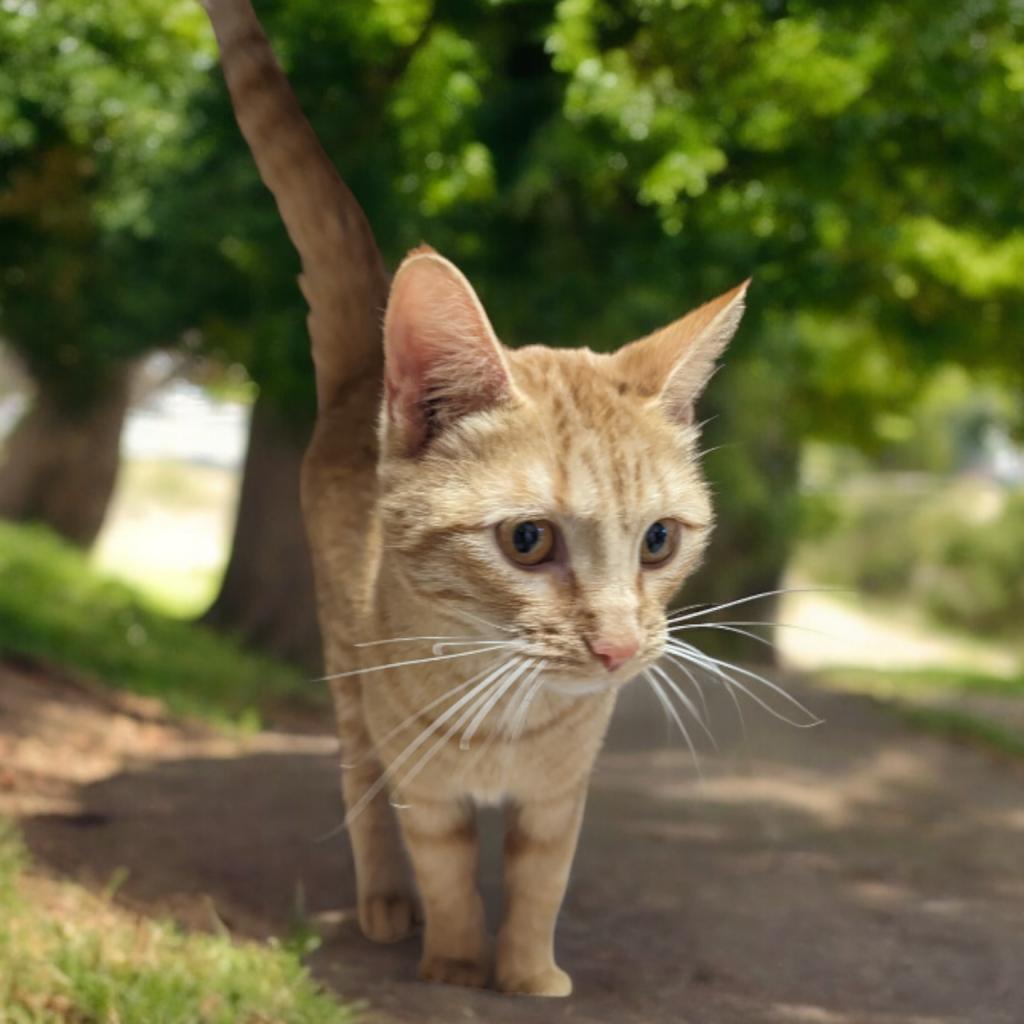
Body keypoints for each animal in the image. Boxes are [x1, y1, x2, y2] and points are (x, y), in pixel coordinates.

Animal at [203, 0, 749, 995]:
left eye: (659, 541)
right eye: (528, 540)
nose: (619, 650)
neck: (512, 714)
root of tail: (361, 371)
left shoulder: (561, 797)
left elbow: (539, 881)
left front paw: (528, 974)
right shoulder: (425, 785)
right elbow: (450, 871)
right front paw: (456, 965)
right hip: (347, 679)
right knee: (359, 787)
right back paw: (385, 903)